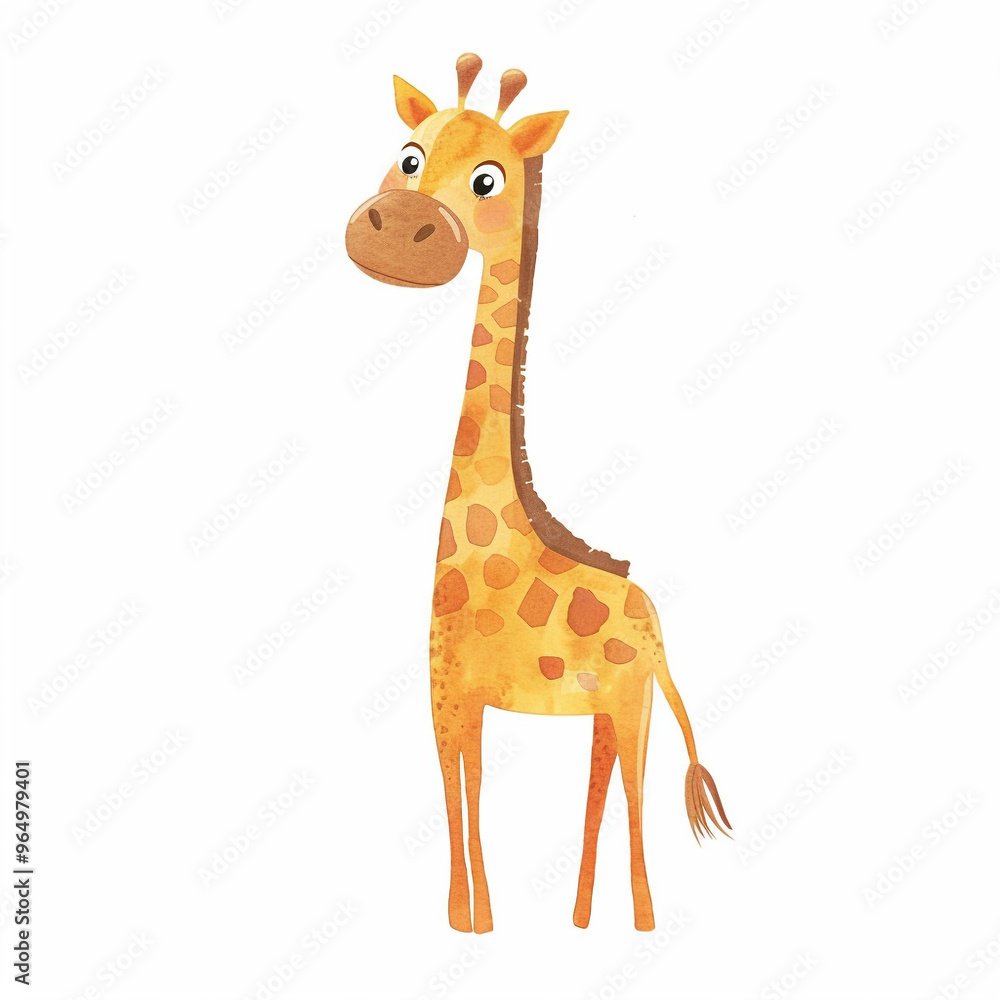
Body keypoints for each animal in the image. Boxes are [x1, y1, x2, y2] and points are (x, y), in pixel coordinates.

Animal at [345, 54, 731, 934]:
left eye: (488, 178)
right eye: (409, 155)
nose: (394, 228)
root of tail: (657, 629)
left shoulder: (447, 691)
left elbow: (464, 787)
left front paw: (470, 920)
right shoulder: (454, 691)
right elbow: (468, 785)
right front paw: (474, 918)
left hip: (631, 703)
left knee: (631, 795)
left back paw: (641, 922)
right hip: (609, 711)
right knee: (600, 792)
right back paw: (583, 920)